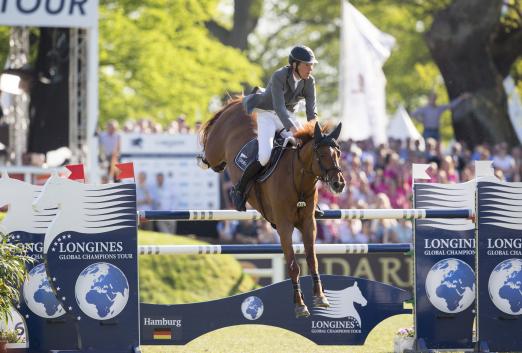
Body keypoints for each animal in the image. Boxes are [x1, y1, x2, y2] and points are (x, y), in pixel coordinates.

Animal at [199, 97, 346, 318]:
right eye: (320, 154)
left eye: (338, 152)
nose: (339, 184)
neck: (298, 179)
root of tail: (238, 104)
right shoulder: (284, 226)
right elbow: (293, 266)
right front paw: (300, 305)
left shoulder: (308, 223)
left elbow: (312, 259)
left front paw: (321, 296)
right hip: (215, 150)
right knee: (209, 155)